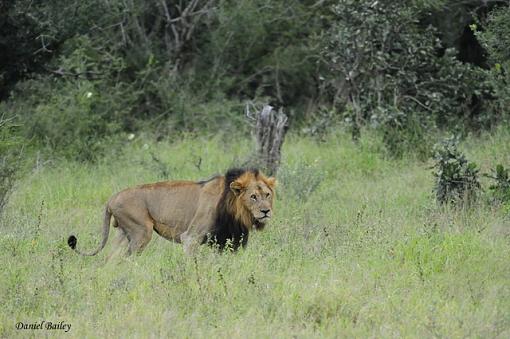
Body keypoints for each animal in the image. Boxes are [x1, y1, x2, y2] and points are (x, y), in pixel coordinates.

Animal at [68, 167, 276, 258]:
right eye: (253, 197)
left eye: (267, 194)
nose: (266, 211)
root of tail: (111, 198)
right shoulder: (191, 237)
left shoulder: (227, 241)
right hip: (141, 232)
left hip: (122, 233)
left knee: (111, 258)